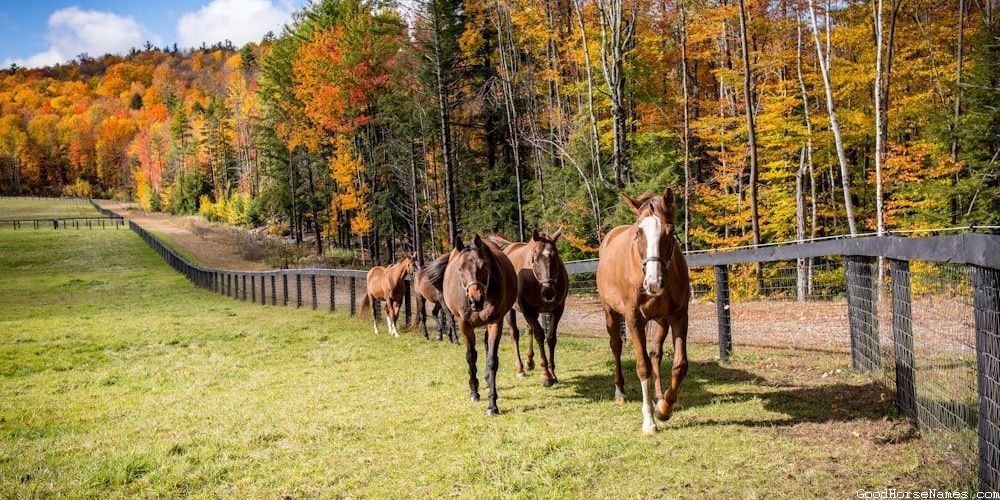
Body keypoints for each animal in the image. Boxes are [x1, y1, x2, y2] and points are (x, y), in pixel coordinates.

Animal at [442, 234, 518, 416]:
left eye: (483, 266)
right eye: (460, 269)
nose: (475, 300)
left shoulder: (495, 322)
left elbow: (491, 360)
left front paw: (492, 404)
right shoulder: (464, 325)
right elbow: (471, 357)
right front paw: (474, 392)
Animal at [488, 229, 568, 387]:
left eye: (555, 257)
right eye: (534, 259)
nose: (548, 292)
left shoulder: (557, 310)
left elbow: (551, 338)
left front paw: (552, 372)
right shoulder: (528, 311)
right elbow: (539, 335)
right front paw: (546, 375)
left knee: (529, 329)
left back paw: (529, 362)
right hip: (510, 311)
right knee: (515, 333)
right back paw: (520, 368)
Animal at [596, 188, 690, 434]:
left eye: (670, 231)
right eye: (638, 233)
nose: (653, 283)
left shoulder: (679, 316)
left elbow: (679, 365)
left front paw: (665, 407)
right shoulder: (633, 319)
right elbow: (642, 367)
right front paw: (649, 420)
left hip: (660, 321)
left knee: (656, 353)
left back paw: (659, 397)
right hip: (611, 315)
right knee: (616, 347)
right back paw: (620, 392)